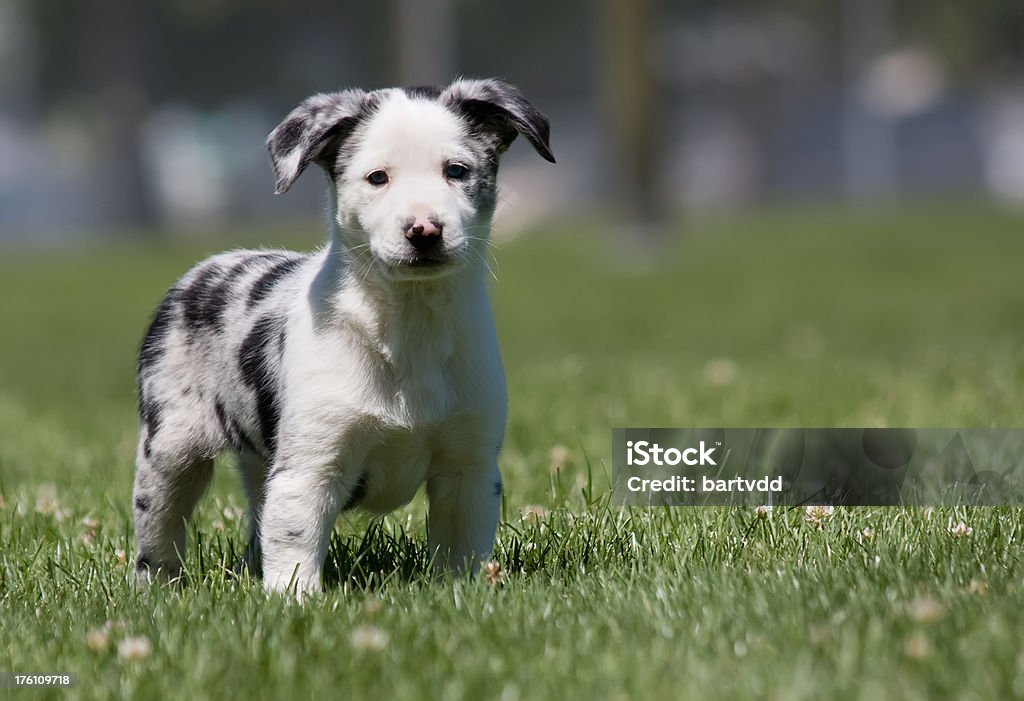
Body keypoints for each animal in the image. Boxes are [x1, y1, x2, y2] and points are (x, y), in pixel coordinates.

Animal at [134, 79, 561, 593]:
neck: (409, 326)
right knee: (161, 532)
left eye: (456, 171)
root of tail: (208, 266)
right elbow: (294, 550)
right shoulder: (310, 468)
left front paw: (460, 594)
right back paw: (155, 588)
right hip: (169, 450)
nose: (424, 230)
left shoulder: (469, 468)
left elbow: (460, 555)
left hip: (257, 464)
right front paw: (295, 602)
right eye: (377, 178)